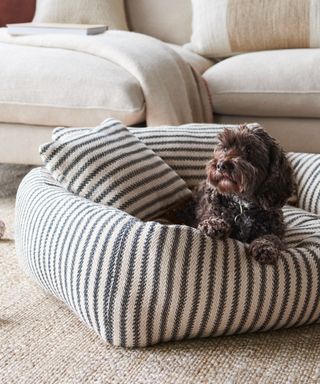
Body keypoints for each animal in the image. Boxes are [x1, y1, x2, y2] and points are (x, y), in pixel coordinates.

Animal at [194, 124, 294, 264]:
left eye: (249, 150)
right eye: (225, 148)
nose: (221, 165)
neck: (243, 204)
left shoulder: (277, 231)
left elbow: (272, 238)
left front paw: (265, 246)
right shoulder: (209, 212)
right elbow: (212, 218)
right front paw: (214, 224)